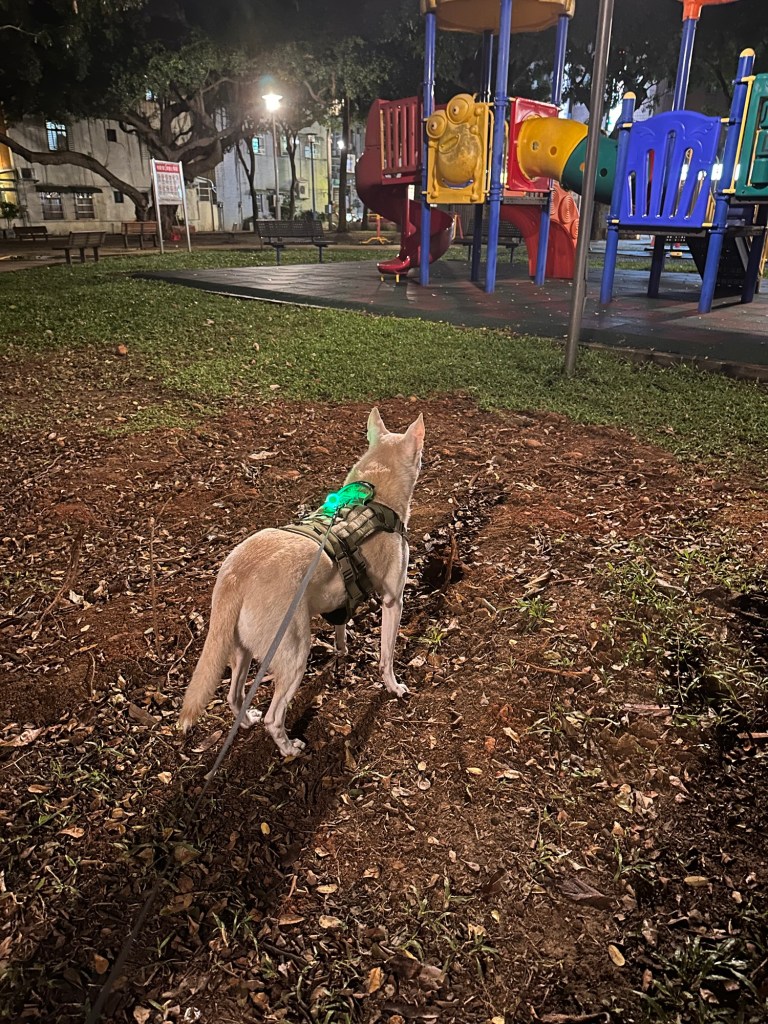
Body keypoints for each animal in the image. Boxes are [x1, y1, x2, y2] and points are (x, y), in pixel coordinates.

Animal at [178, 408, 425, 756]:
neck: (374, 492)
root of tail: (236, 575)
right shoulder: (393, 602)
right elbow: (386, 657)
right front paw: (394, 686)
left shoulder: (341, 601)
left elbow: (341, 629)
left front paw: (342, 650)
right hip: (295, 655)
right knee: (273, 717)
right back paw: (289, 749)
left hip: (241, 651)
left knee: (234, 696)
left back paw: (248, 719)